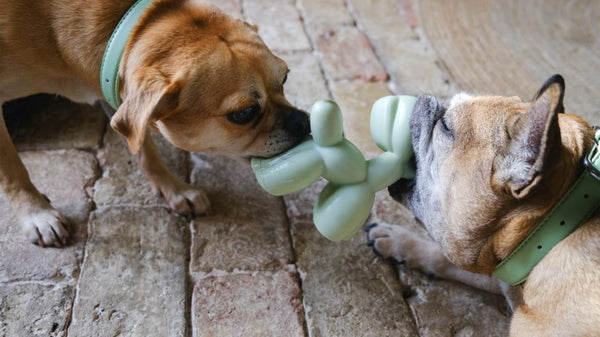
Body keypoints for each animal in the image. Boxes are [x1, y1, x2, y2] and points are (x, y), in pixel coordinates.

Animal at [0, 0, 310, 247]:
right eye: (244, 113)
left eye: (285, 78)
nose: (303, 122)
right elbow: (13, 172)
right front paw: (36, 214)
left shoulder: (114, 91)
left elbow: (144, 148)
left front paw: (173, 188)